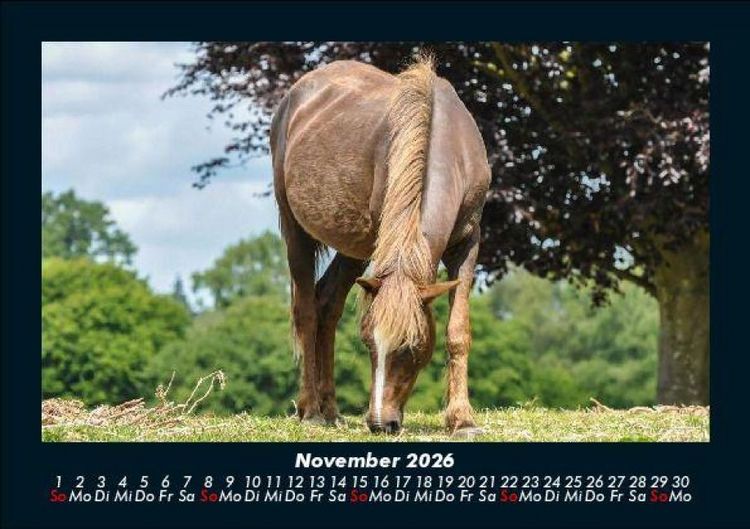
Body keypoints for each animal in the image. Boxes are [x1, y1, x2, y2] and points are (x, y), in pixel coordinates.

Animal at [271, 56, 490, 435]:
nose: (379, 423)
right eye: (368, 343)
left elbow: (458, 330)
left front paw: (462, 420)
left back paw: (332, 410)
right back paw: (311, 410)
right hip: (297, 231)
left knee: (327, 304)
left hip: (353, 249)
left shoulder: (467, 243)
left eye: (412, 346)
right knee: (307, 310)